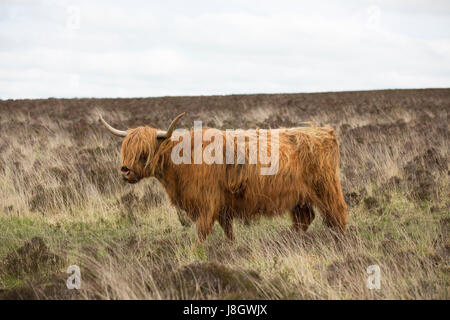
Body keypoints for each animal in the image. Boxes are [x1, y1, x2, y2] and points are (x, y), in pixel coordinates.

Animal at [100, 112, 348, 240]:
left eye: (144, 151)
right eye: (125, 148)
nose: (125, 171)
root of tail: (323, 131)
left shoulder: (206, 203)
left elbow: (201, 233)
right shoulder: (222, 205)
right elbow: (228, 231)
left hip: (326, 189)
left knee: (337, 215)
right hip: (299, 197)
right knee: (304, 218)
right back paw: (290, 239)